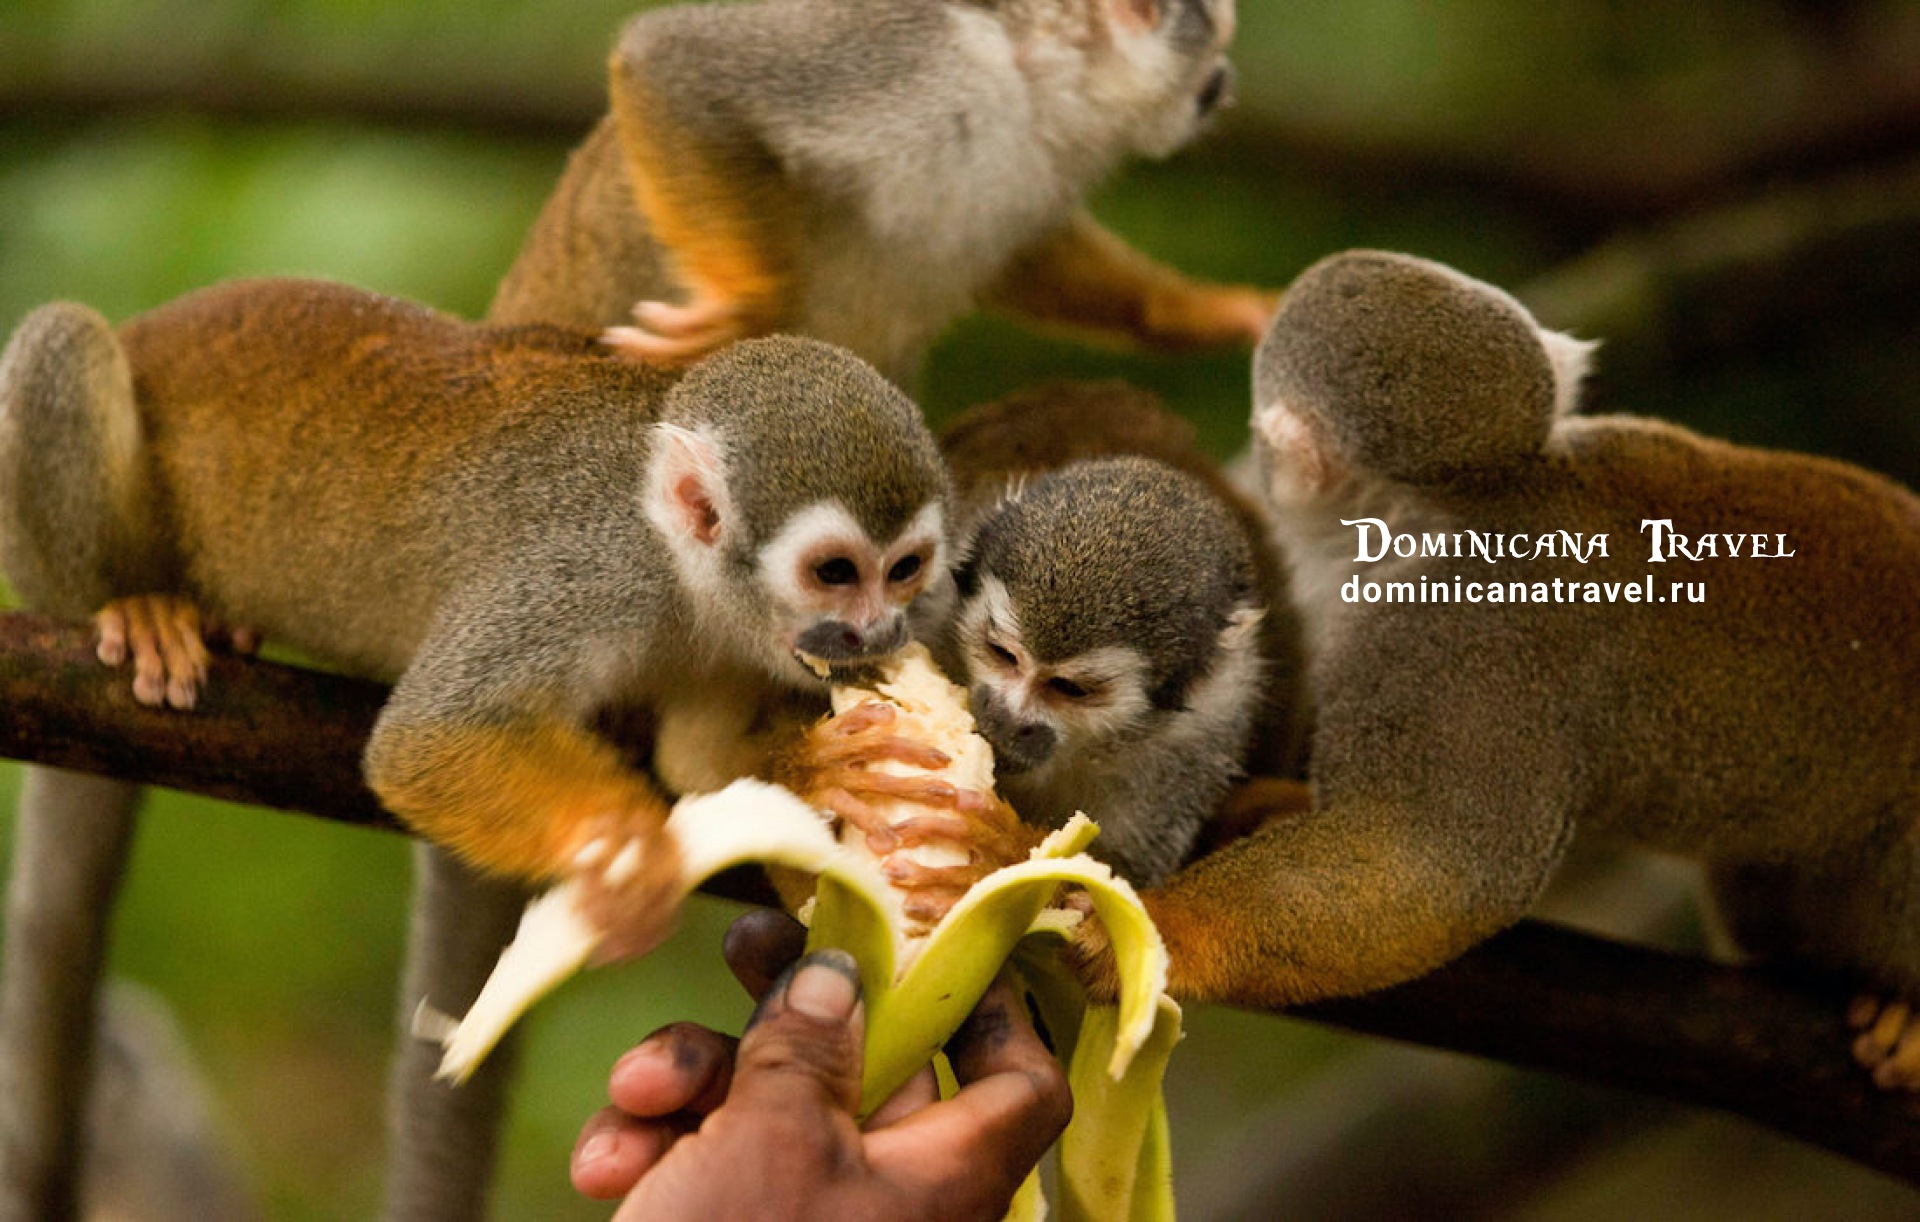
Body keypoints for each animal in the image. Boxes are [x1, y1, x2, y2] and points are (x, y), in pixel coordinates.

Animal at [0, 279, 979, 1219]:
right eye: (834, 572)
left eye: (904, 571)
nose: (881, 632)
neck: (677, 567)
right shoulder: (582, 574)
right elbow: (424, 741)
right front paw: (628, 849)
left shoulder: (730, 640)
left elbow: (696, 762)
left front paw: (805, 771)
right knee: (61, 343)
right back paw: (134, 605)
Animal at [487, 0, 1276, 388]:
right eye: (1213, 60)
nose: (1226, 85)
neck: (1031, 76)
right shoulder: (912, 51)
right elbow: (680, 63)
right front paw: (749, 307)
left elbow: (1024, 254)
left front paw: (1193, 310)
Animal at [1070, 248, 1920, 1091]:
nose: (1263, 471)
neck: (1463, 505)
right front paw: (1274, 806)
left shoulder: (1458, 631)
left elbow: (1434, 866)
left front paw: (1159, 931)